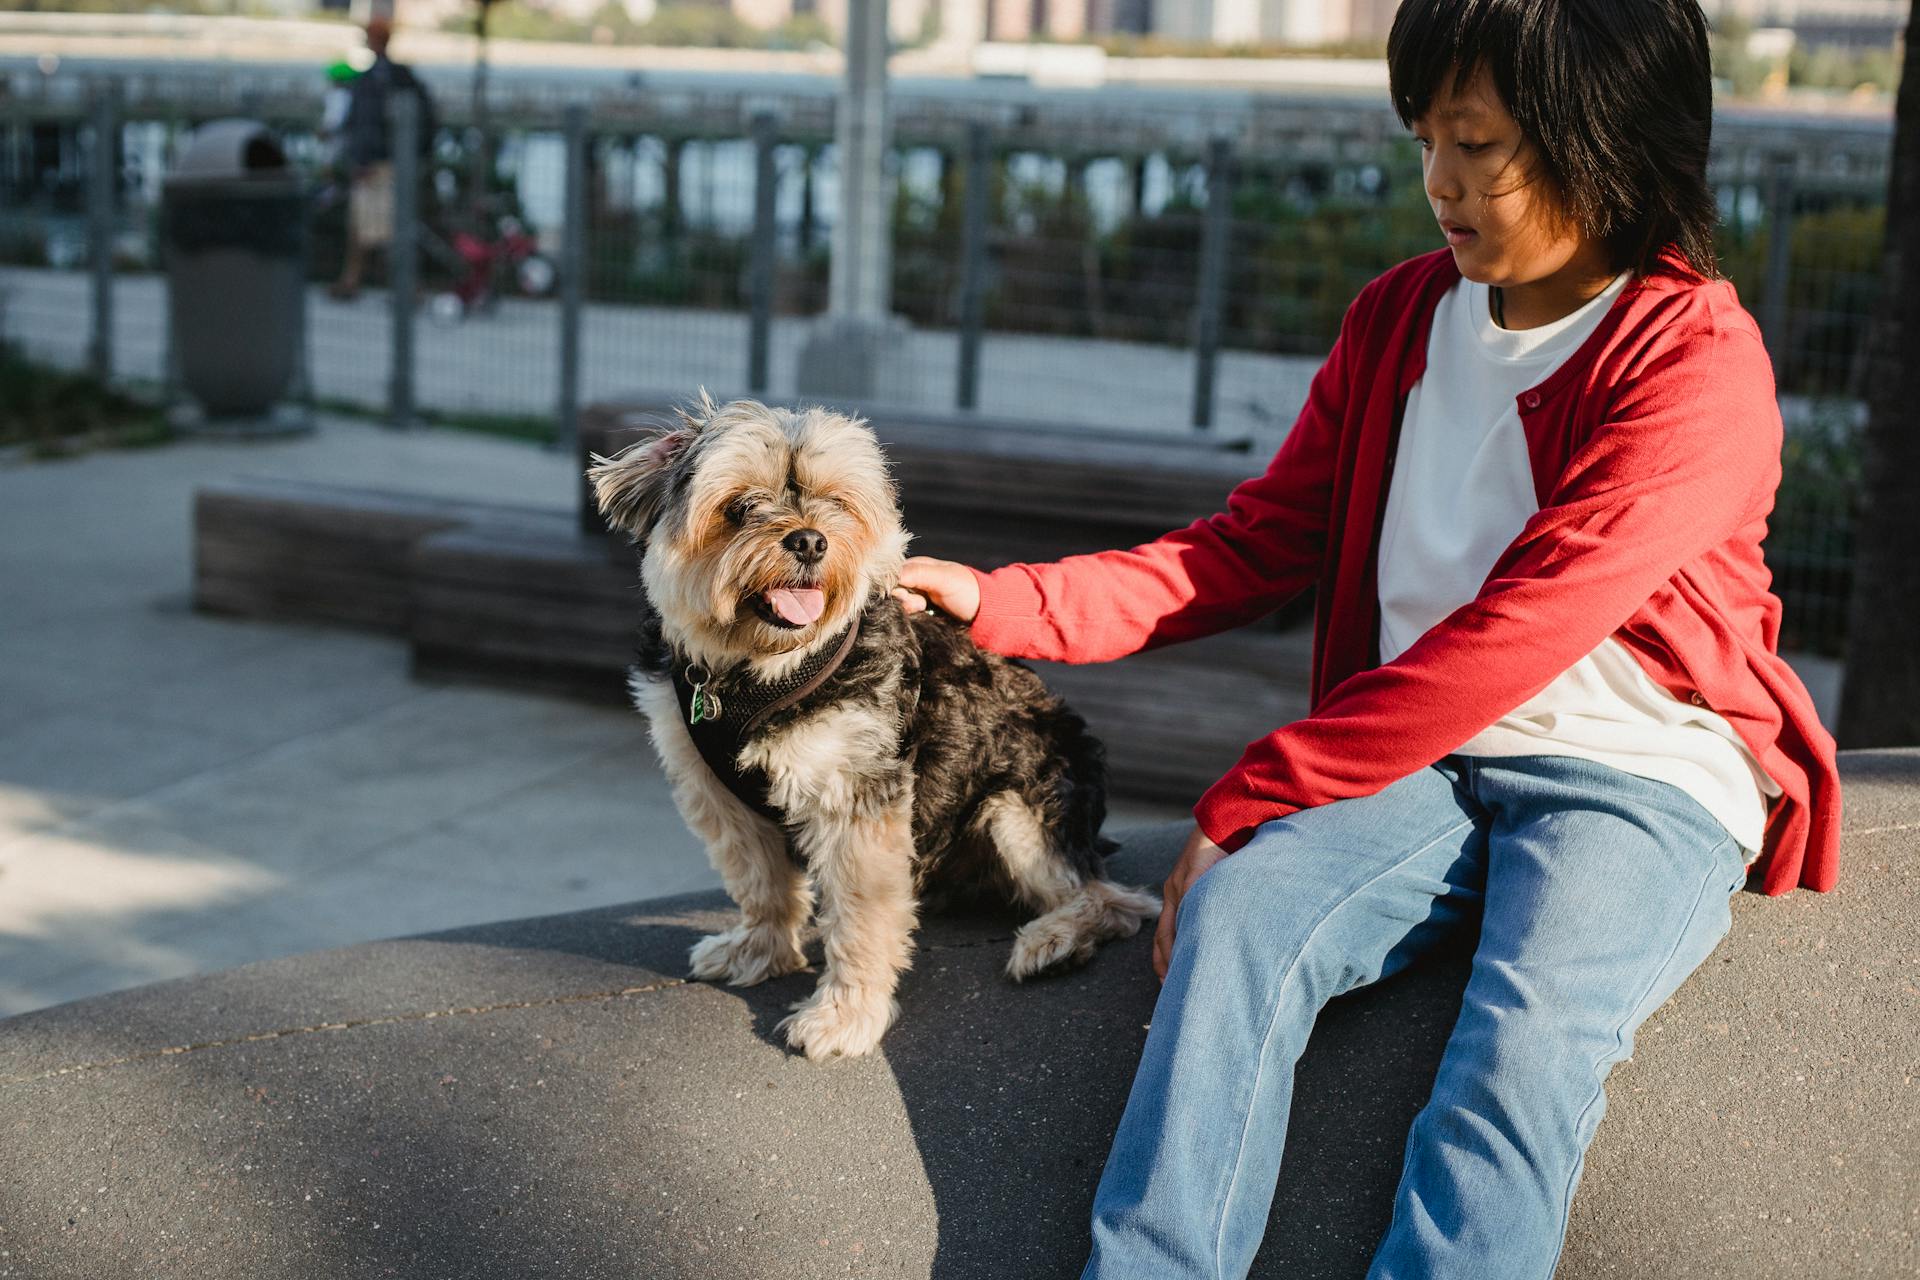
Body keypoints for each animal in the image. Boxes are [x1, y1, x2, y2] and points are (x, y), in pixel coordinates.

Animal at [587, 395, 1152, 1059]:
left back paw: (1054, 940)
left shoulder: (857, 800)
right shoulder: (717, 795)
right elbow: (760, 882)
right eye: (740, 507)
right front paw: (760, 950)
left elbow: (859, 916)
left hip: (1020, 807)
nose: (810, 540)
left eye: (837, 503)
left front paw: (844, 1016)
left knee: (1114, 897)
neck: (758, 670)